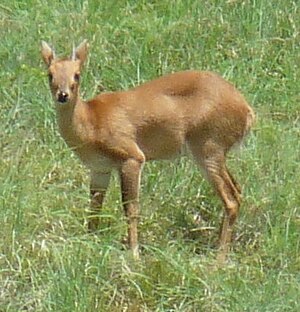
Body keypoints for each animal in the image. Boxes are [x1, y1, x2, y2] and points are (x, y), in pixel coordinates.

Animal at [41, 40, 254, 262]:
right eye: (50, 74)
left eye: (77, 74)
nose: (63, 95)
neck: (91, 121)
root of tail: (247, 111)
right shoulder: (100, 168)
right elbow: (94, 206)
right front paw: (90, 241)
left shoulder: (132, 156)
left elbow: (130, 207)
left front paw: (134, 253)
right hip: (216, 153)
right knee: (238, 190)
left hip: (208, 147)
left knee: (231, 199)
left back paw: (218, 259)